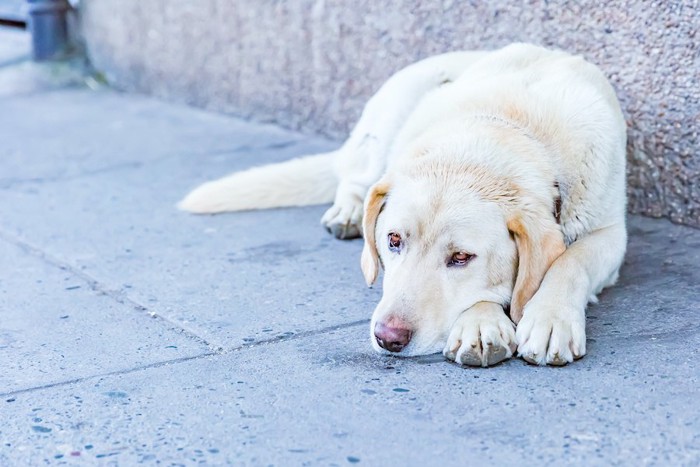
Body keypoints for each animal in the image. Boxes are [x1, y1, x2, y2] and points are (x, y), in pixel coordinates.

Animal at [180, 42, 628, 368]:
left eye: (462, 257)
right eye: (393, 240)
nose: (388, 338)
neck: (512, 123)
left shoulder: (612, 234)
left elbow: (569, 262)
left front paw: (548, 318)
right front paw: (483, 322)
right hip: (387, 121)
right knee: (355, 178)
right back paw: (348, 212)